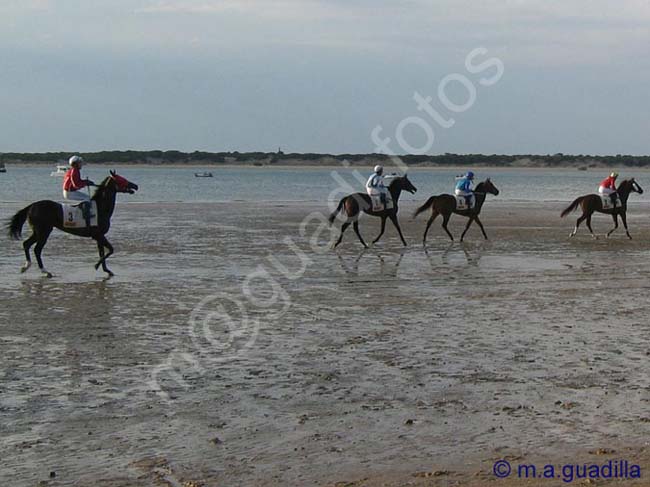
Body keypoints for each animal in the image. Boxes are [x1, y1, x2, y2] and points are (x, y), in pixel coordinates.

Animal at [6, 172, 139, 278]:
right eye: (121, 179)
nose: (135, 185)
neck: (101, 208)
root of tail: (31, 206)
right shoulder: (99, 235)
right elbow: (110, 250)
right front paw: (96, 266)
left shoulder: (98, 237)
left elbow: (102, 252)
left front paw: (106, 270)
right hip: (43, 231)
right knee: (37, 249)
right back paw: (45, 271)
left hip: (38, 231)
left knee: (26, 244)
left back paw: (26, 266)